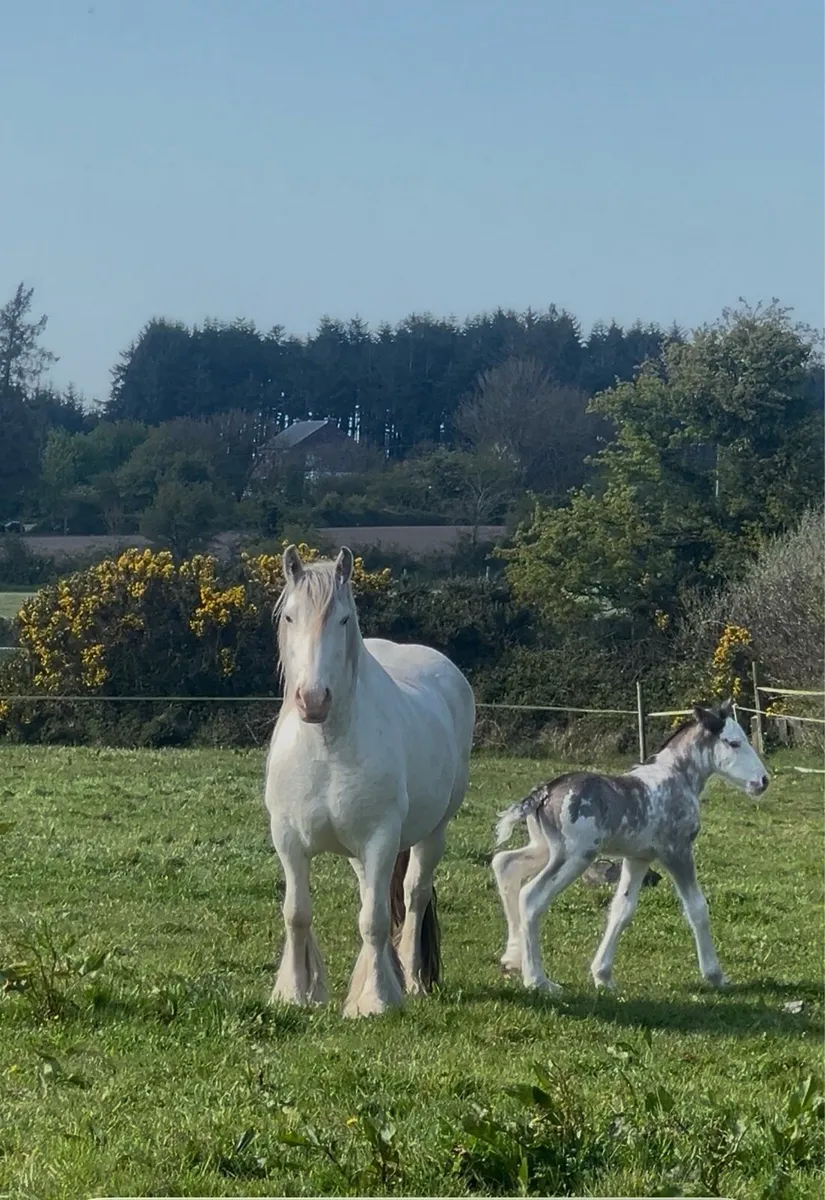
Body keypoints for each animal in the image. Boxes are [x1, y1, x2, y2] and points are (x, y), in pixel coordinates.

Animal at [264, 544, 475, 1018]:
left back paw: (411, 979)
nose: (313, 700)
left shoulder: (380, 839)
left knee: (414, 895)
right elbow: (296, 913)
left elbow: (375, 919)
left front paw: (375, 999)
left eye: (343, 619)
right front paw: (297, 992)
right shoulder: (288, 839)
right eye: (290, 617)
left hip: (431, 833)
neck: (326, 748)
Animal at [492, 700, 770, 994]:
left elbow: (622, 909)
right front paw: (715, 975)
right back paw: (538, 980)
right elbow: (697, 908)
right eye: (734, 743)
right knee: (531, 897)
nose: (763, 781)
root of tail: (542, 793)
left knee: (505, 864)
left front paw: (602, 975)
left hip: (543, 847)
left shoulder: (639, 857)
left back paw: (513, 959)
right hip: (575, 855)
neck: (677, 777)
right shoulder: (676, 851)